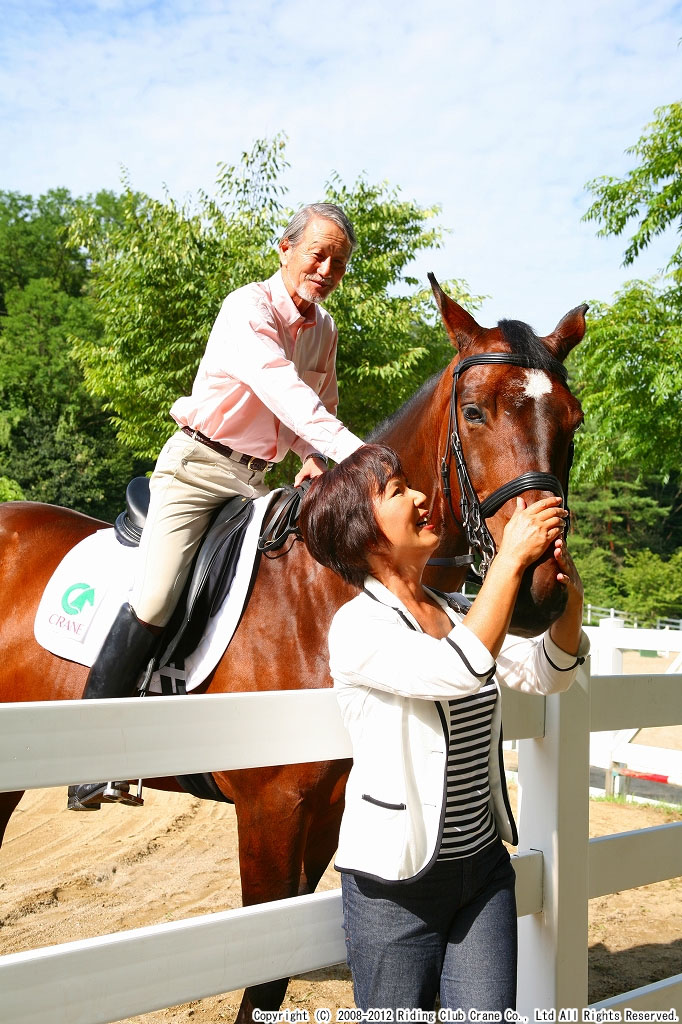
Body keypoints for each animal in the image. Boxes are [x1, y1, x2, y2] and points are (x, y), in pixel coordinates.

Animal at [0, 276, 586, 1022]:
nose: (540, 588)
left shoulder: (328, 809)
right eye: (476, 412)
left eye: (572, 423)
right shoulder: (271, 812)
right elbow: (263, 976)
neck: (328, 586)